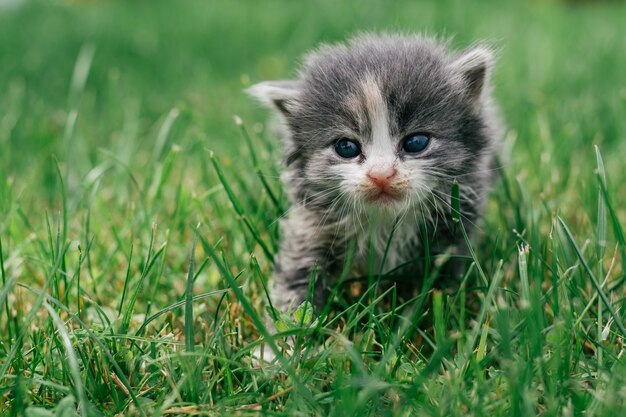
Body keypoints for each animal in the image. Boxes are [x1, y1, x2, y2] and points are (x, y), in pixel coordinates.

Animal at [246, 33, 500, 312]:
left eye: (416, 142)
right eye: (346, 147)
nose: (381, 174)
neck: (385, 222)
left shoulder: (453, 227)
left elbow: (443, 281)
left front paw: (439, 309)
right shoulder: (311, 226)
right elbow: (298, 275)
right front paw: (291, 320)